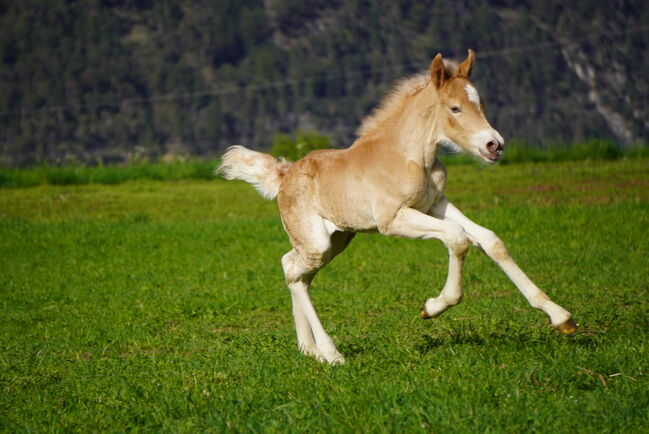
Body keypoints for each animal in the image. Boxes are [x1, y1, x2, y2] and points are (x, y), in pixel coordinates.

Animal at [219, 49, 576, 364]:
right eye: (455, 108)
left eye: (481, 103)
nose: (494, 145)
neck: (409, 155)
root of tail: (284, 174)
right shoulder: (393, 219)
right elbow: (457, 238)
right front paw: (433, 307)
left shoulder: (435, 203)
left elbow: (490, 240)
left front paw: (561, 317)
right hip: (317, 241)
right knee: (293, 270)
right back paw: (331, 354)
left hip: (337, 239)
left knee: (294, 269)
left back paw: (310, 350)